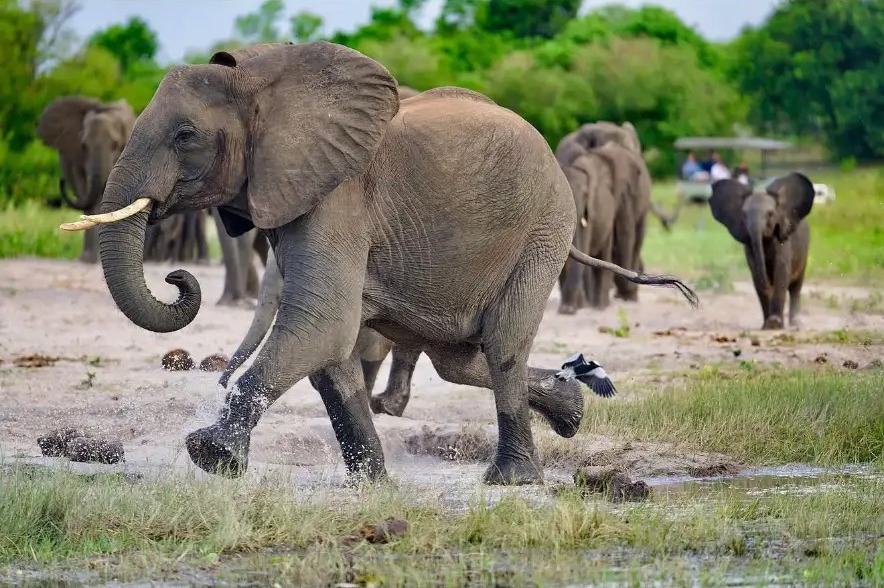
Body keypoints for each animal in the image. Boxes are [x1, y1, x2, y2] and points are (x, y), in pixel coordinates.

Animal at [69, 41, 696, 486]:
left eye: (185, 135)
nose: (177, 279)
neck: (262, 81)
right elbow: (331, 348)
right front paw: (370, 485)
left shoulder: (338, 195)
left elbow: (322, 323)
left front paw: (210, 455)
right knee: (460, 359)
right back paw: (569, 412)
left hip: (543, 227)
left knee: (503, 343)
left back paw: (511, 480)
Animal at [709, 173, 814, 330]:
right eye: (744, 215)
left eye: (770, 214)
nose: (768, 286)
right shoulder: (749, 246)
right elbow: (756, 275)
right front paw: (766, 326)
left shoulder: (783, 241)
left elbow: (781, 273)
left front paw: (775, 324)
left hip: (804, 253)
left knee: (796, 287)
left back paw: (796, 324)